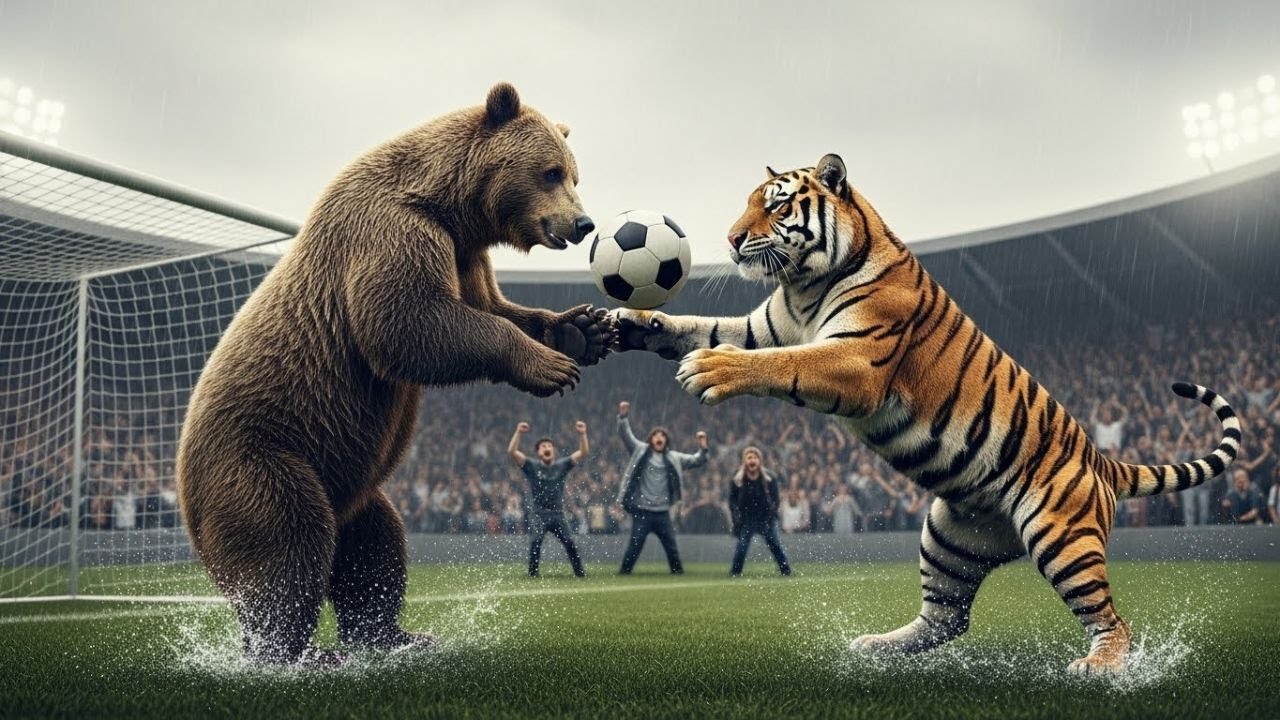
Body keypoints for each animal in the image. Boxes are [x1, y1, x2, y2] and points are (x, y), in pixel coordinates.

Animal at [176, 82, 612, 666]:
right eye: (550, 172)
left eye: (573, 175)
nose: (583, 224)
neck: (446, 205)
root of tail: (183, 496)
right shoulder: (391, 233)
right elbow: (412, 322)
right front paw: (549, 367)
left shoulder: (464, 255)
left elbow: (495, 308)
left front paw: (581, 330)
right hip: (260, 460)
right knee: (287, 549)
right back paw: (294, 652)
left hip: (349, 486)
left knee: (374, 547)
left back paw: (393, 635)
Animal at [609, 153, 1241, 674]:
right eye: (748, 202)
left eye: (778, 204)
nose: (732, 238)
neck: (802, 286)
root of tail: (1101, 459)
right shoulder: (762, 326)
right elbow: (701, 326)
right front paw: (637, 322)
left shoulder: (854, 359)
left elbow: (780, 362)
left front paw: (709, 369)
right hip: (948, 536)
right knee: (948, 618)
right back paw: (878, 647)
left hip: (1061, 536)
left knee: (1111, 618)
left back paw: (1101, 666)